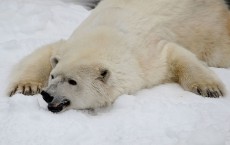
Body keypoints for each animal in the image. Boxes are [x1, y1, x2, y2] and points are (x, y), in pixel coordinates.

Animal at [6, 0, 230, 112]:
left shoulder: (148, 56)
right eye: (53, 76)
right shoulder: (69, 44)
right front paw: (25, 87)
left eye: (72, 81)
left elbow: (174, 54)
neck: (105, 36)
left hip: (210, 27)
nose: (47, 94)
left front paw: (210, 89)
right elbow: (47, 52)